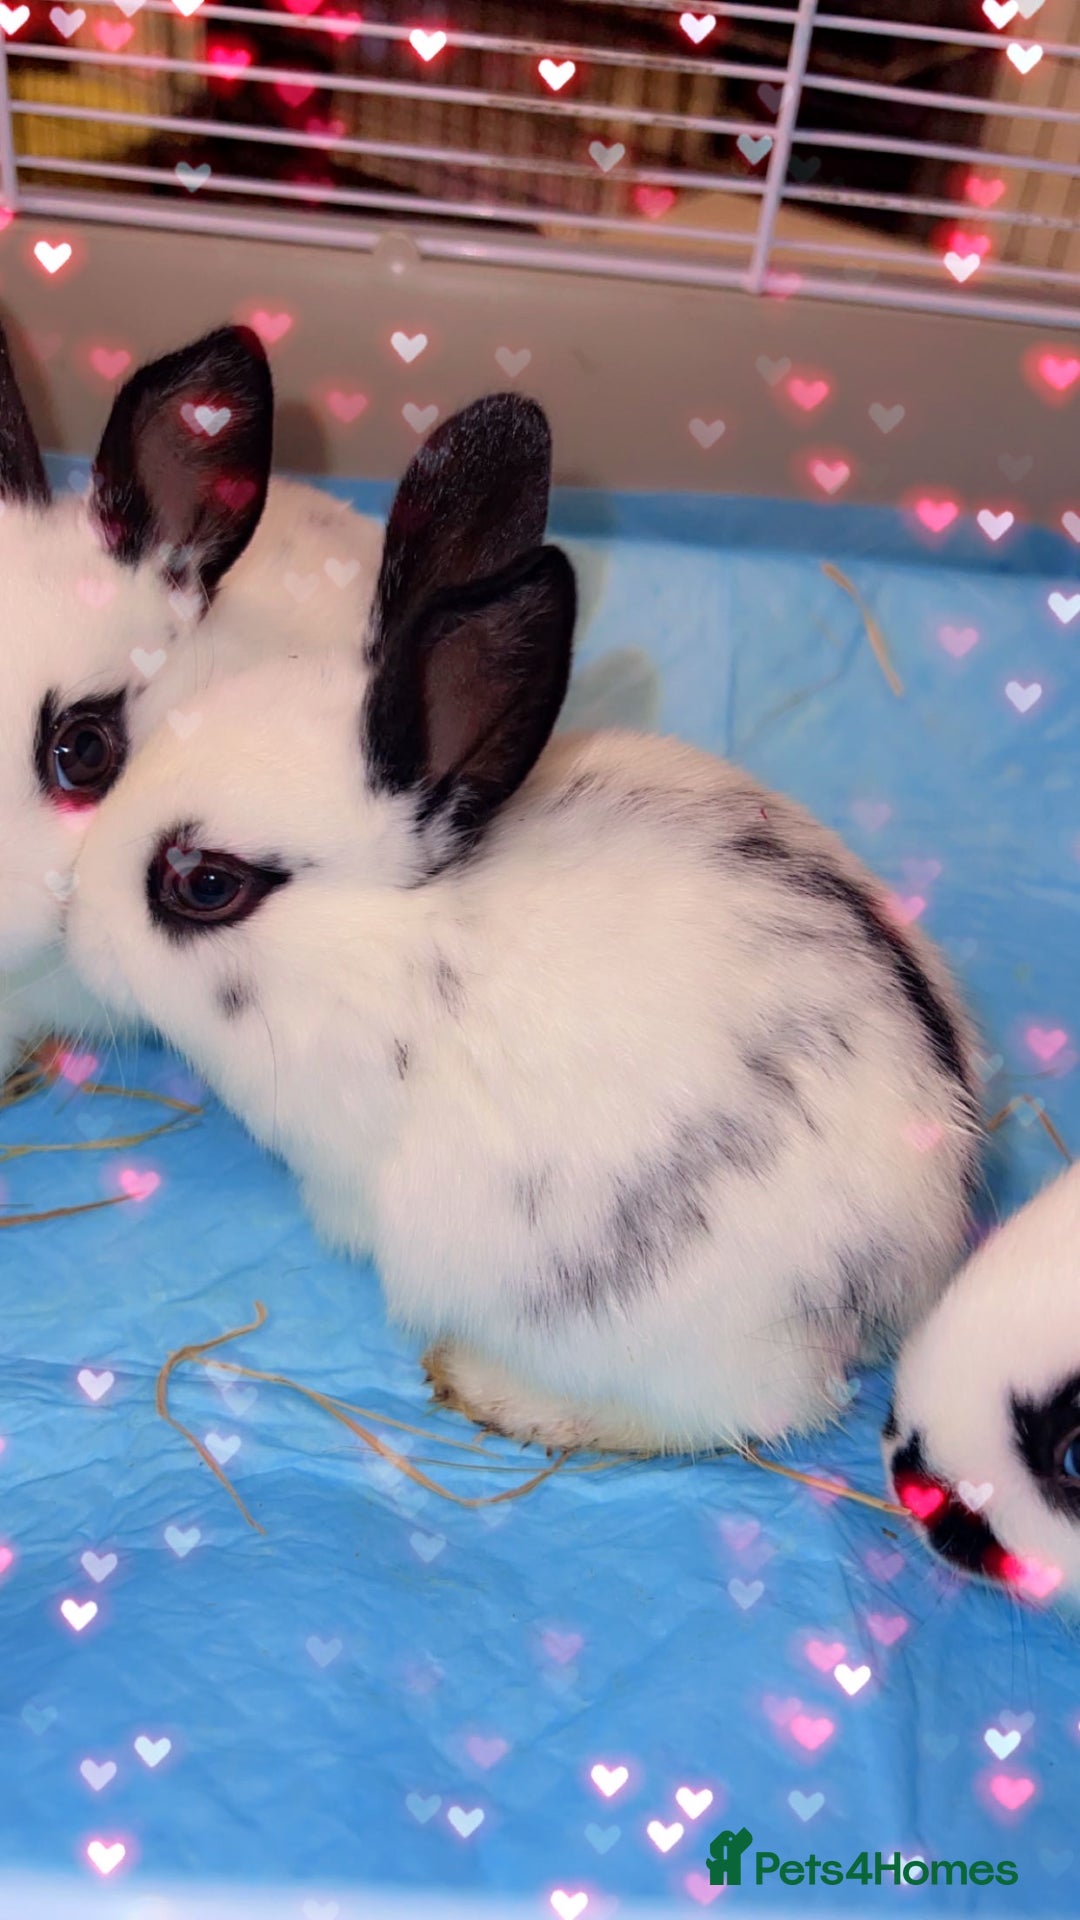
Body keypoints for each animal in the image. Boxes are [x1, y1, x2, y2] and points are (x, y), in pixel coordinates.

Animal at [64, 391, 984, 1454]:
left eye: (207, 886)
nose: (76, 924)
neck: (392, 949)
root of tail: (913, 1261)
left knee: (739, 1412)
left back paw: (494, 1389)